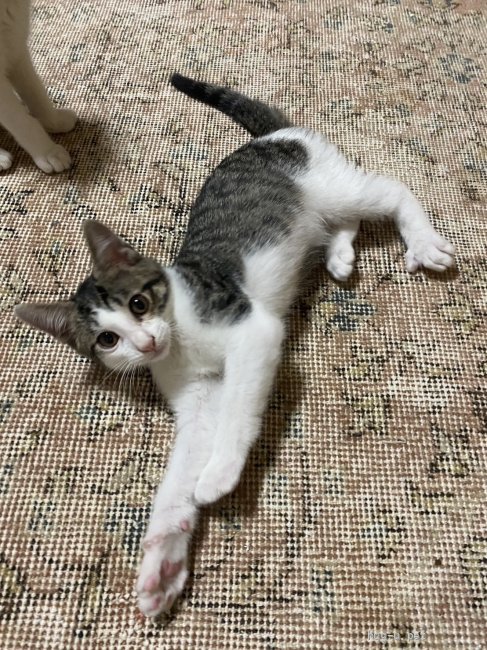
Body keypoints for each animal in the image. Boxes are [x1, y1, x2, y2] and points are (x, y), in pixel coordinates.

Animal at [14, 72, 455, 616]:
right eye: (107, 339)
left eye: (139, 303)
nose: (145, 343)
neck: (180, 337)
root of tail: (272, 136)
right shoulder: (197, 393)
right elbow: (185, 458)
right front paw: (164, 554)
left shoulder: (251, 330)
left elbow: (237, 410)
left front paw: (220, 473)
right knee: (343, 221)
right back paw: (338, 254)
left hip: (329, 185)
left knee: (389, 189)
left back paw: (422, 240)